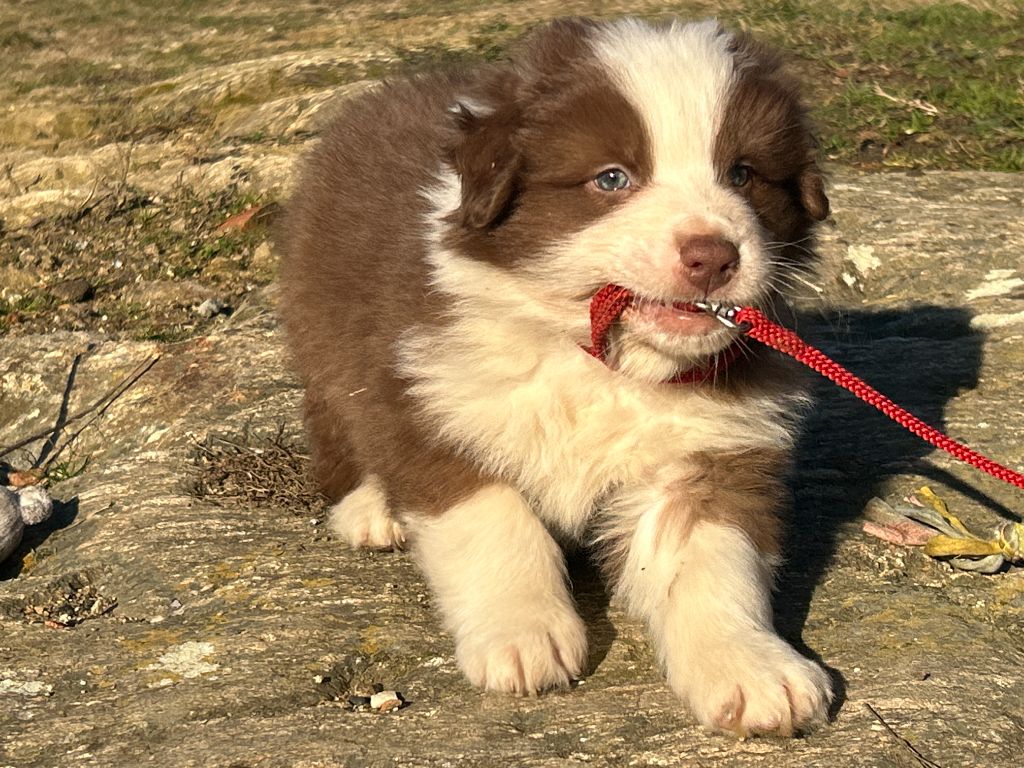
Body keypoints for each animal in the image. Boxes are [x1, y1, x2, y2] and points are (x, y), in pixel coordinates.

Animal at [280, 18, 831, 741]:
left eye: (742, 173)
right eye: (612, 178)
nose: (713, 256)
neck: (602, 362)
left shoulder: (709, 451)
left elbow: (709, 562)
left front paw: (752, 672)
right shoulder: (434, 391)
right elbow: (492, 517)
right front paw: (524, 637)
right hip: (324, 328)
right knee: (340, 420)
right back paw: (370, 507)